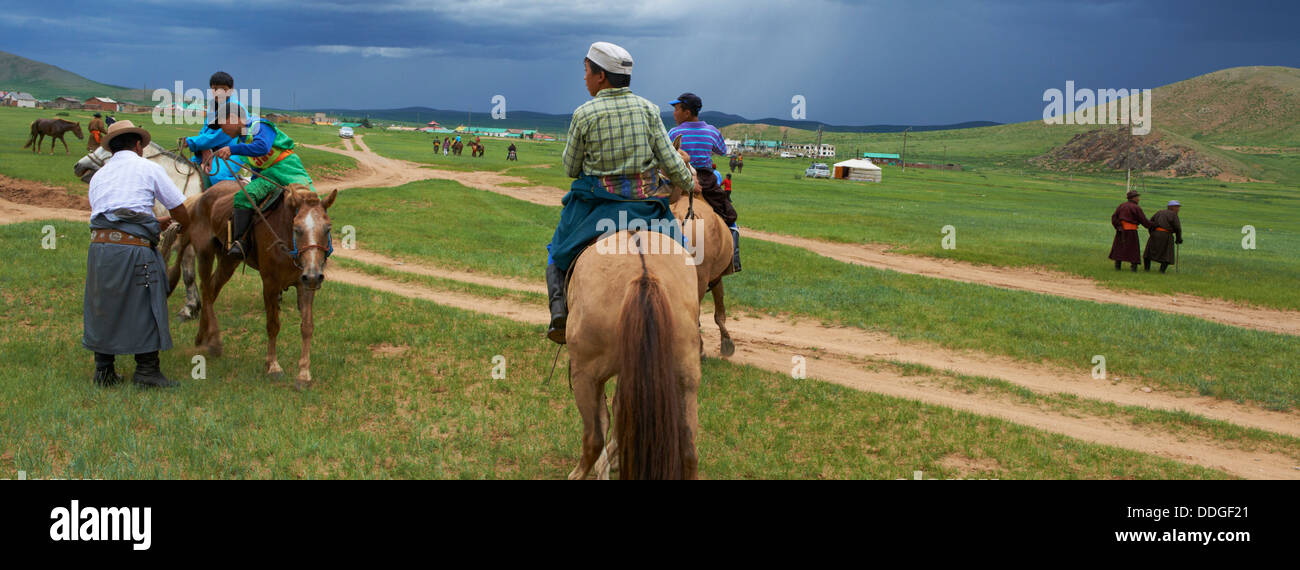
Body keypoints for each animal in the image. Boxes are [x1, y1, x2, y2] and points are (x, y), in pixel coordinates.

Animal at [178, 182, 340, 393]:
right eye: (297, 229)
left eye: (327, 229)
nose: (314, 274)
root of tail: (202, 196)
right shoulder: (270, 283)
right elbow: (273, 325)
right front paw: (273, 366)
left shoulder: (305, 284)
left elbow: (307, 327)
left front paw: (303, 374)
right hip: (205, 253)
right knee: (205, 289)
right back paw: (212, 339)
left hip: (228, 261)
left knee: (211, 291)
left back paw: (203, 336)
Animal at [566, 229, 702, 478]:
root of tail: (645, 275)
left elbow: (606, 419)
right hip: (685, 375)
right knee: (688, 449)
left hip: (584, 373)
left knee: (593, 437)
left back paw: (579, 473)